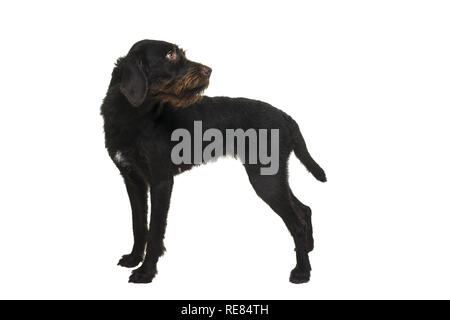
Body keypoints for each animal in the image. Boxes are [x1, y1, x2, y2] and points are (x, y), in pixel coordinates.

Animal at [100, 39, 326, 282]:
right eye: (170, 55)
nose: (209, 70)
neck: (133, 114)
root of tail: (286, 117)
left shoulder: (161, 181)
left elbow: (155, 230)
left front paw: (146, 272)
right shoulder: (133, 179)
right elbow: (139, 224)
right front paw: (134, 259)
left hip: (266, 180)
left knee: (297, 223)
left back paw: (302, 271)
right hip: (273, 176)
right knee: (304, 210)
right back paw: (308, 248)